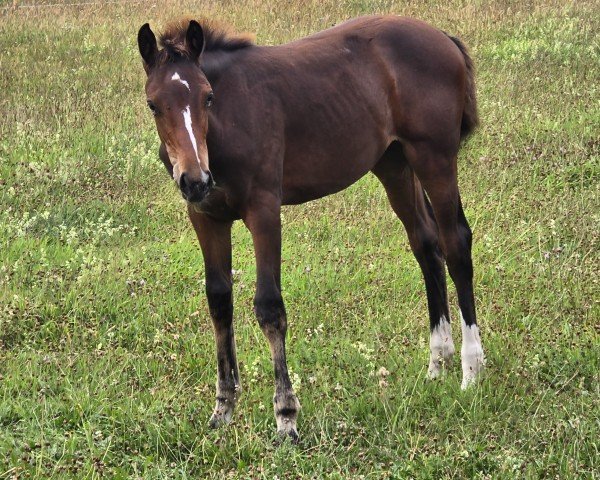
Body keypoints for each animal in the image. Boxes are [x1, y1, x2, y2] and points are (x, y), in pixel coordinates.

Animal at [138, 15, 486, 442]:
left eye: (207, 97)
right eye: (153, 104)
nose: (194, 179)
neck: (225, 127)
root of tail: (442, 37)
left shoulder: (264, 210)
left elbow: (269, 307)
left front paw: (286, 416)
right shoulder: (204, 216)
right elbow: (219, 300)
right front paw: (223, 407)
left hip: (434, 157)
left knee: (455, 244)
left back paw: (471, 369)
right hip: (394, 162)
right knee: (426, 244)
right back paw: (438, 362)